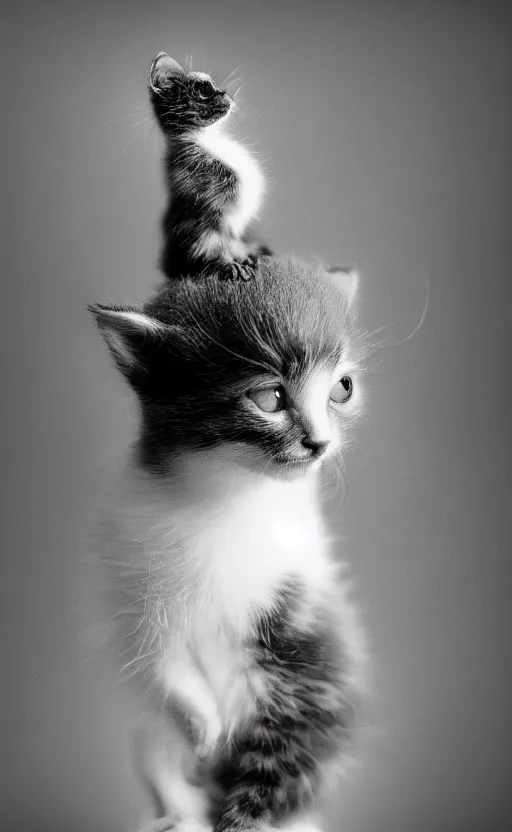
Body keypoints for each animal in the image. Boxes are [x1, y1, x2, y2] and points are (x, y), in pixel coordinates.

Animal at [90, 255, 366, 832]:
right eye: (269, 397)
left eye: (342, 388)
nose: (320, 442)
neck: (227, 496)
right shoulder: (131, 570)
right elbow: (157, 656)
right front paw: (203, 727)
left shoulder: (301, 610)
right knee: (153, 747)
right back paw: (176, 812)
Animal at [149, 54, 272, 286]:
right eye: (205, 89)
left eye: (216, 86)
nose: (226, 93)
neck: (209, 140)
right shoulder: (207, 219)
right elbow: (208, 247)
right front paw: (228, 265)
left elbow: (231, 241)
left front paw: (245, 254)